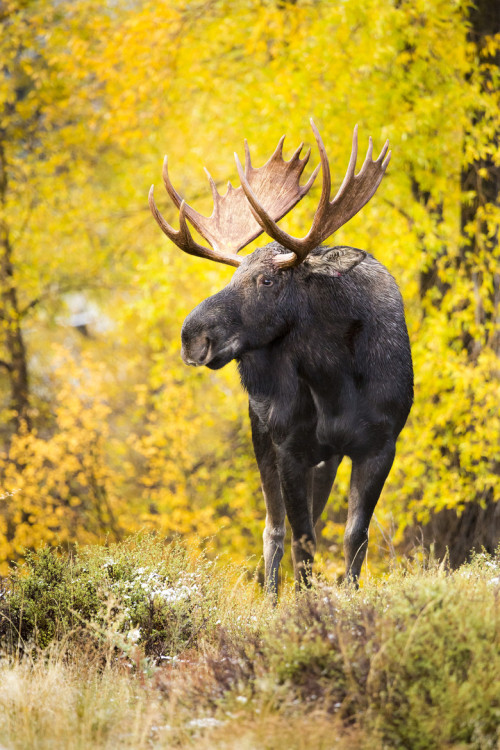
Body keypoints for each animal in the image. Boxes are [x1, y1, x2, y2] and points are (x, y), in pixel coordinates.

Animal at [148, 120, 414, 596]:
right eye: (232, 276)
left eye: (268, 280)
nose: (191, 337)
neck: (336, 381)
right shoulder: (290, 445)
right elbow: (301, 540)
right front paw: (301, 603)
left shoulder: (382, 443)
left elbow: (355, 537)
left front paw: (349, 595)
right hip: (262, 431)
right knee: (273, 528)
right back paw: (271, 597)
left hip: (326, 457)